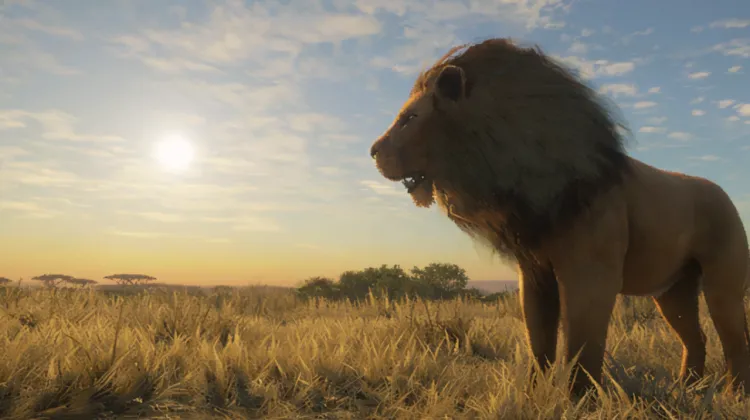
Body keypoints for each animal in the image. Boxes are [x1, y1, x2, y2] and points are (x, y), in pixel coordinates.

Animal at [369, 38, 750, 395]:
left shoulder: (591, 274)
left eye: (410, 118)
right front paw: (533, 393)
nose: (372, 151)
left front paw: (581, 399)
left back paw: (733, 395)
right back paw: (688, 389)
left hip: (723, 284)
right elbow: (538, 339)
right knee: (696, 338)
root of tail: (722, 192)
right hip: (672, 292)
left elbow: (583, 344)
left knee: (735, 340)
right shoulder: (534, 274)